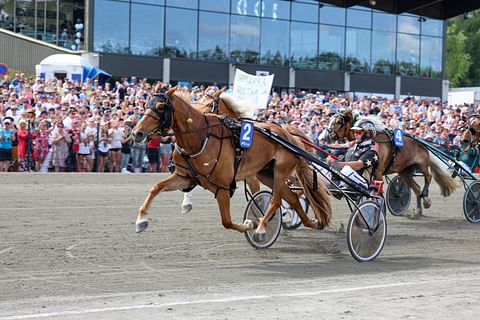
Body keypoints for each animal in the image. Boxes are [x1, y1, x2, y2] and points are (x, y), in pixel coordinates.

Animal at [133, 86, 332, 239]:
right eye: (146, 104)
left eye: (160, 106)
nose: (137, 132)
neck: (201, 137)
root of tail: (289, 136)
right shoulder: (185, 176)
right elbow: (156, 188)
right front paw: (141, 220)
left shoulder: (224, 186)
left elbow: (228, 221)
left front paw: (251, 224)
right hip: (268, 173)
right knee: (292, 197)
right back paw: (311, 222)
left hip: (281, 171)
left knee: (277, 200)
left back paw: (262, 227)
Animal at [324, 109, 456, 218]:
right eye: (330, 120)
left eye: (338, 122)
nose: (327, 135)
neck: (373, 139)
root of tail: (422, 142)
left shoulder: (378, 171)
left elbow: (378, 191)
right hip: (405, 172)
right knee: (417, 188)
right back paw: (418, 211)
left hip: (422, 164)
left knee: (428, 177)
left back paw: (426, 199)